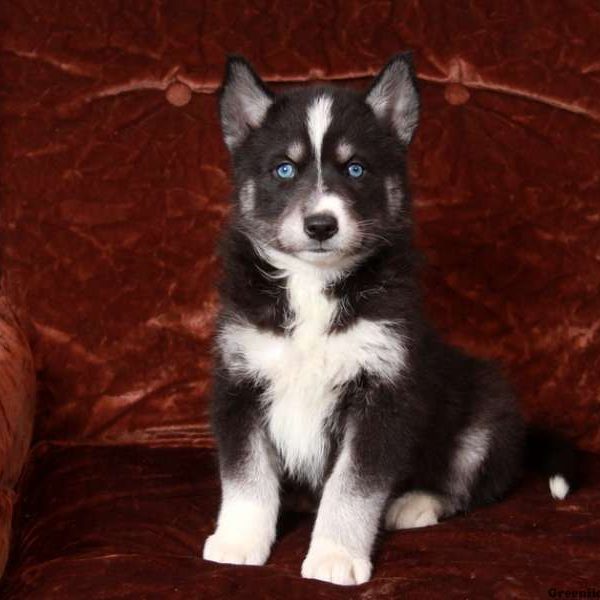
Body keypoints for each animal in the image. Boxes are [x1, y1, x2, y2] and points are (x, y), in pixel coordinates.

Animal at [203, 52, 576, 584]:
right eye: (284, 169)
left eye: (356, 168)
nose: (321, 225)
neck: (314, 285)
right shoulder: (240, 381)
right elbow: (245, 476)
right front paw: (238, 541)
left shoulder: (383, 393)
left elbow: (352, 487)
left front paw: (335, 556)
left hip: (487, 415)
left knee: (470, 484)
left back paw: (415, 504)